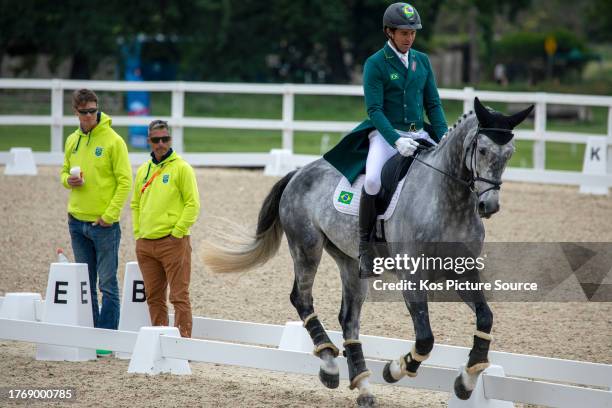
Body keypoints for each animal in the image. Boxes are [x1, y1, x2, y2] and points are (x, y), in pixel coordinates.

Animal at [203, 98, 532, 404]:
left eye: (510, 153)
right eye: (483, 150)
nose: (488, 206)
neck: (449, 199)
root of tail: (299, 172)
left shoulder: (463, 272)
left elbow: (485, 317)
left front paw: (467, 379)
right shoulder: (412, 277)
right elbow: (425, 338)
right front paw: (395, 369)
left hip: (350, 262)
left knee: (348, 319)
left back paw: (362, 386)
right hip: (306, 246)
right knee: (302, 298)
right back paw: (330, 365)